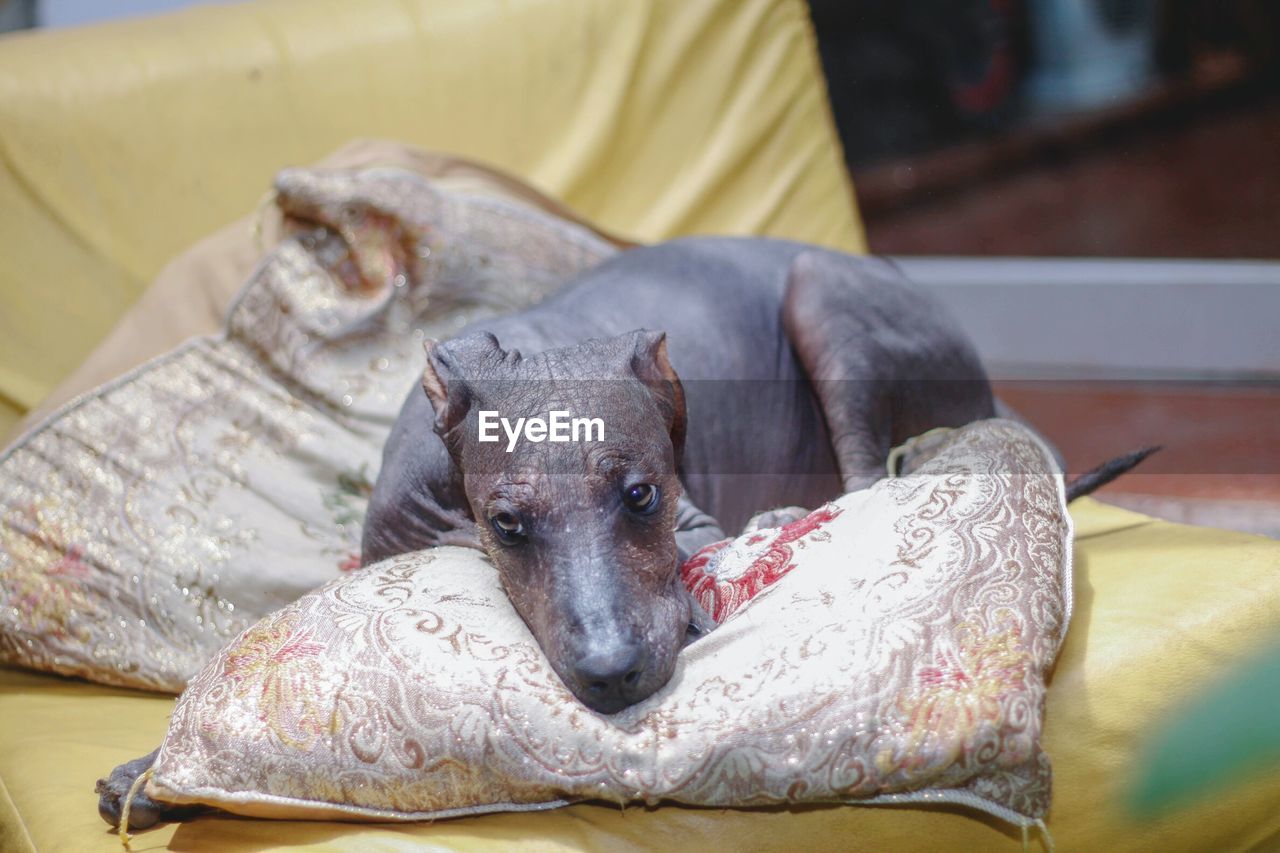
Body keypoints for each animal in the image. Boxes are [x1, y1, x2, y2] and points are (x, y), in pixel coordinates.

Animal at [97, 235, 1152, 824]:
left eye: (642, 495)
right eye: (509, 522)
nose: (611, 672)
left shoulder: (694, 519)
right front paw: (154, 771)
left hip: (828, 301)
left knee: (860, 487)